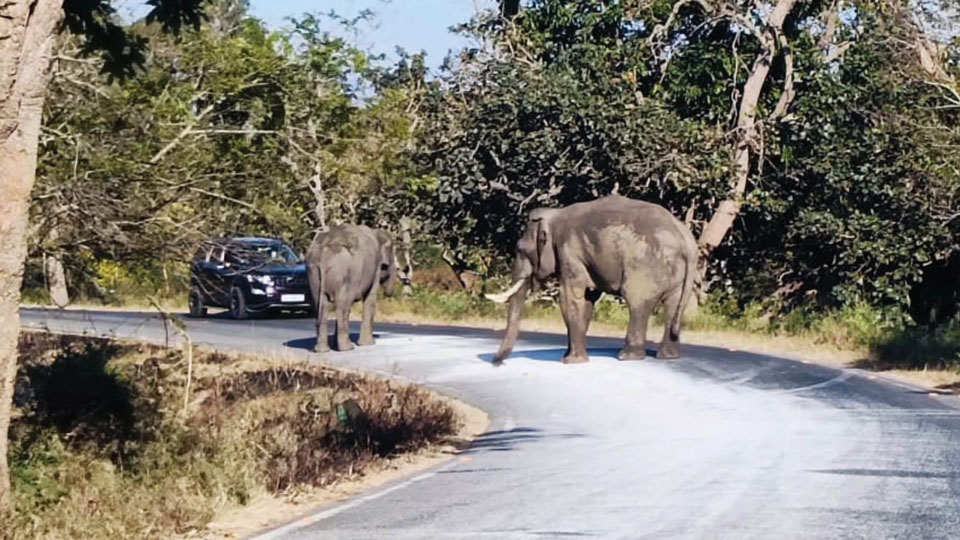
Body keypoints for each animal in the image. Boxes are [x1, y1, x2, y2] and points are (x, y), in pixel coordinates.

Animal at [308, 223, 398, 352]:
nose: (388, 293)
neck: (376, 232)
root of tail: (324, 251)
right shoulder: (375, 267)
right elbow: (370, 299)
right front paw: (369, 343)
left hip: (314, 273)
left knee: (321, 308)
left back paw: (322, 350)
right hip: (345, 274)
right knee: (343, 308)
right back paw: (347, 348)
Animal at [488, 192, 696, 364]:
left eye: (520, 249)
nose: (496, 362)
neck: (555, 215)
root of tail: (685, 236)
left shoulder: (569, 252)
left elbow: (571, 297)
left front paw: (571, 361)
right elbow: (587, 299)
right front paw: (568, 357)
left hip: (645, 266)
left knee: (638, 302)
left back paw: (627, 356)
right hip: (676, 271)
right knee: (672, 304)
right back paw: (668, 356)